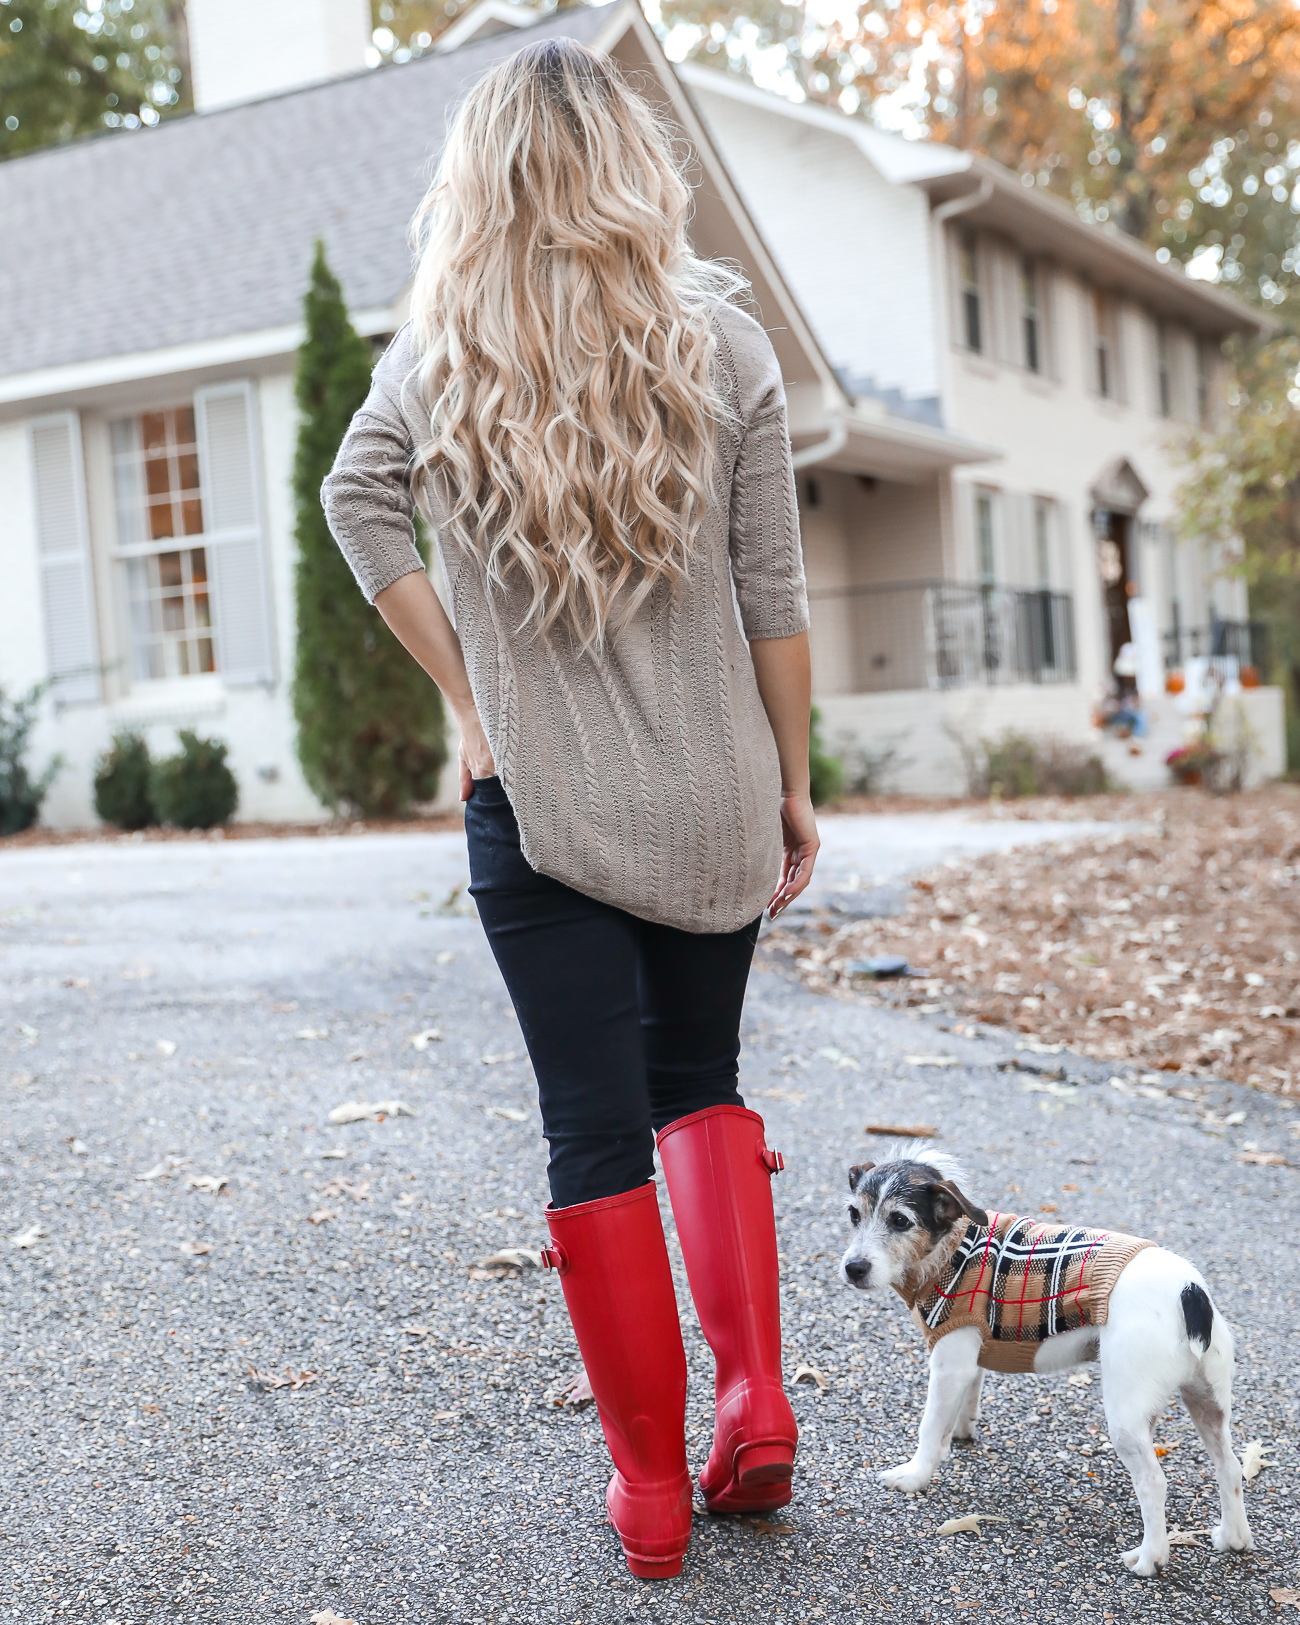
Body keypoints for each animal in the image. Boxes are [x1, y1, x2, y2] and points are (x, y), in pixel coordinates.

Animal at [838, 1144, 1254, 1573]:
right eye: (854, 1214)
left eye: (900, 1220)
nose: (854, 1268)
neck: (952, 1245)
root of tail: (1190, 1292)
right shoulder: (968, 1359)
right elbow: (966, 1402)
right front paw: (961, 1433)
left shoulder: (949, 1366)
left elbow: (928, 1428)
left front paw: (915, 1475)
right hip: (1206, 1402)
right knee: (1230, 1467)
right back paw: (1233, 1538)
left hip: (1126, 1416)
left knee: (1154, 1482)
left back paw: (1150, 1558)